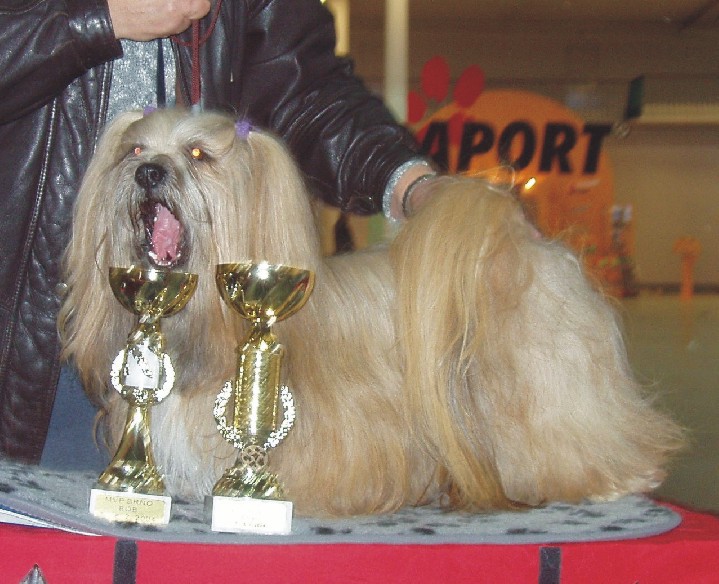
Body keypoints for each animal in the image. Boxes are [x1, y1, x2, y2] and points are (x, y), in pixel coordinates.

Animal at [59, 108, 683, 517]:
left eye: (197, 155)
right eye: (134, 151)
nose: (148, 172)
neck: (204, 327)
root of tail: (520, 245)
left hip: (548, 384)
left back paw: (615, 476)